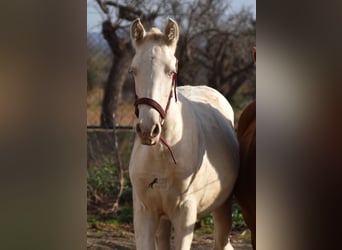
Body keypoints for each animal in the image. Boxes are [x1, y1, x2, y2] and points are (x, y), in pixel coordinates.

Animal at [127, 18, 238, 250]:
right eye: (134, 70)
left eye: (170, 71)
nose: (148, 130)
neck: (161, 154)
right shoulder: (145, 213)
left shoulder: (185, 214)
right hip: (163, 220)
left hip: (222, 208)